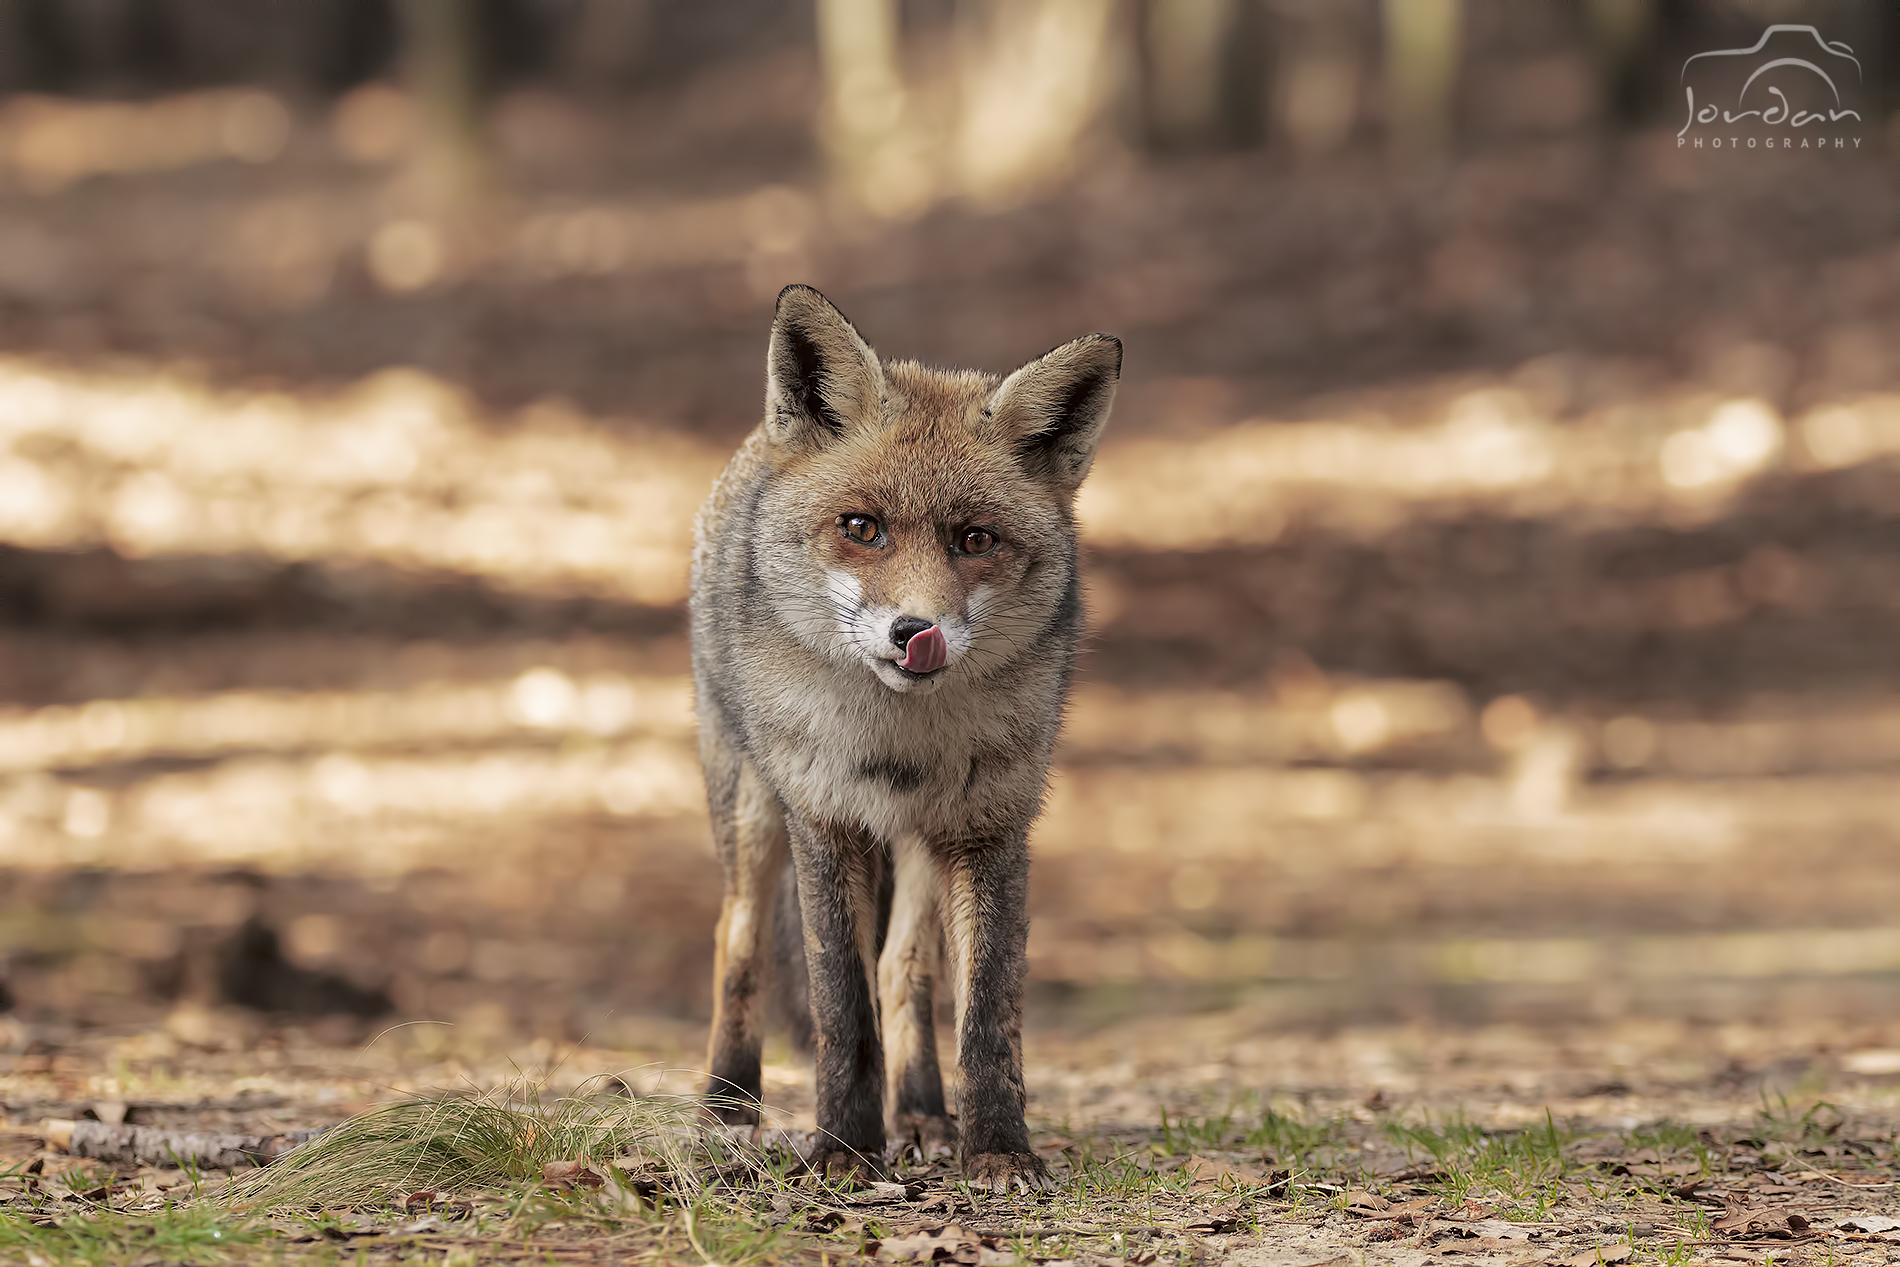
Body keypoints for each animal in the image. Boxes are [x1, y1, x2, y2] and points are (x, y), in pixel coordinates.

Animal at [690, 285, 1120, 1192]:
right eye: (863, 527)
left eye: (975, 539)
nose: (913, 633)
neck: (898, 740)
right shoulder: (825, 821)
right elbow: (841, 1006)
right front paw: (842, 1151)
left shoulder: (992, 825)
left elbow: (987, 1012)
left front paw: (997, 1148)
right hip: (750, 807)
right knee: (737, 938)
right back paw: (727, 1107)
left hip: (923, 843)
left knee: (905, 969)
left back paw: (921, 1113)